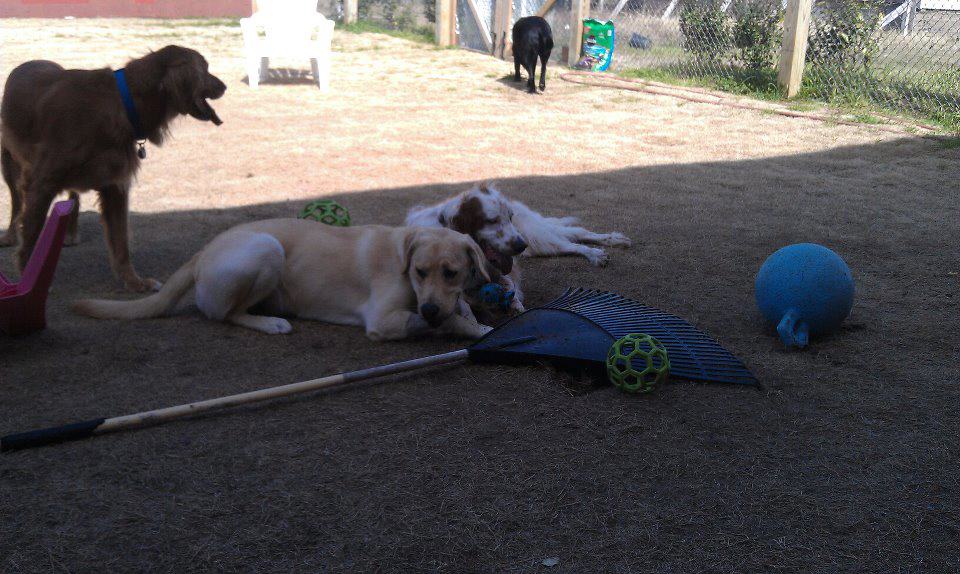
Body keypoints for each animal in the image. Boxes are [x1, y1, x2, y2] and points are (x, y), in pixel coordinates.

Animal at [0, 45, 226, 292]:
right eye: (204, 68)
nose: (224, 86)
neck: (122, 102)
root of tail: (29, 62)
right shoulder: (42, 183)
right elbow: (31, 237)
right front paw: (27, 279)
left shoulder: (115, 185)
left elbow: (121, 242)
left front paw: (135, 281)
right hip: (9, 165)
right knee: (16, 203)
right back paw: (10, 235)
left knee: (72, 196)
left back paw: (70, 233)